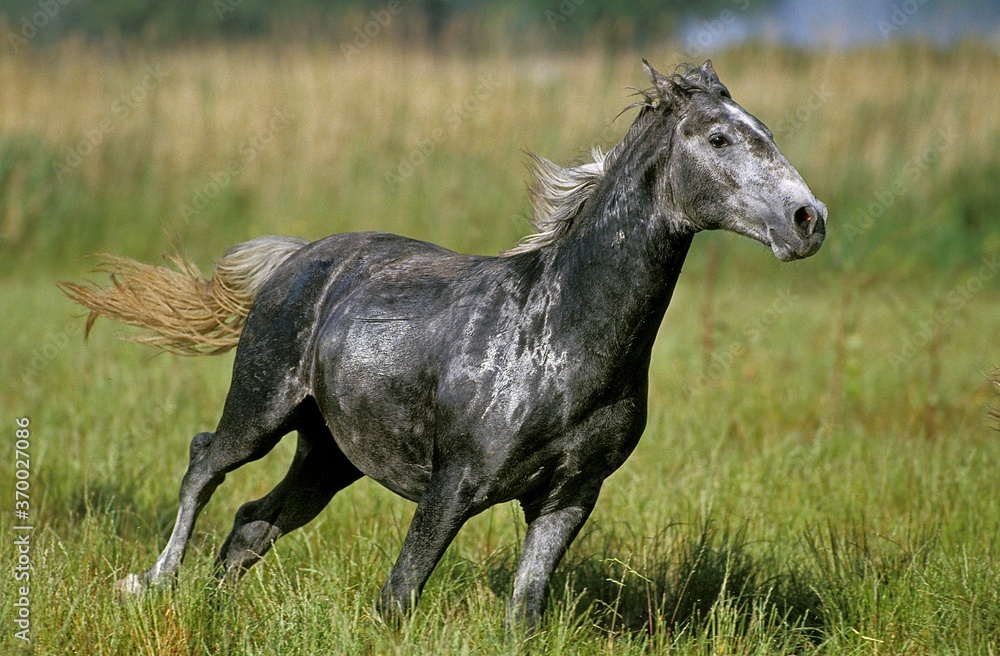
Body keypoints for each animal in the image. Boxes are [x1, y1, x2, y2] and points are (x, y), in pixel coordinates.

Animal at [61, 60, 826, 630]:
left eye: (763, 130)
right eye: (719, 139)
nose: (808, 219)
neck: (560, 340)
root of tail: (297, 257)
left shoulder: (569, 498)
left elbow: (524, 611)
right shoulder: (453, 484)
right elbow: (398, 595)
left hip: (329, 455)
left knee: (252, 524)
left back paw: (214, 606)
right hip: (261, 408)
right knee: (203, 463)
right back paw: (151, 581)